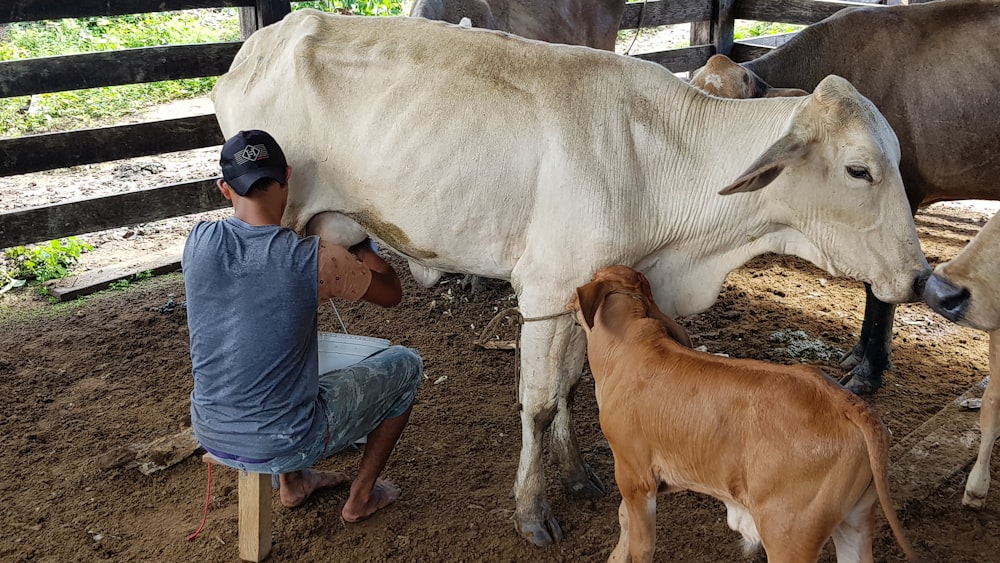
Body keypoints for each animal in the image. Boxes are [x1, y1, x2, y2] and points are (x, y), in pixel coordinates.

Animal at [572, 266, 920, 563]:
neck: (626, 348)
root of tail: (849, 403)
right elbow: (624, 519)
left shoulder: (634, 473)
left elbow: (642, 544)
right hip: (855, 520)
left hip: (789, 532)